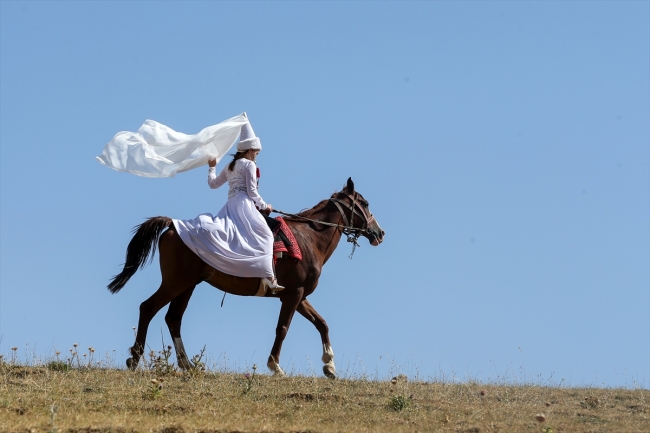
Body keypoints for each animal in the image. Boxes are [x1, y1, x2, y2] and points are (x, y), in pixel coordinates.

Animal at [104, 177, 382, 376]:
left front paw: (329, 364)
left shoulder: (298, 295)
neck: (309, 238)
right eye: (366, 204)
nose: (379, 232)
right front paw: (275, 366)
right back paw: (135, 357)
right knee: (148, 308)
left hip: (188, 285)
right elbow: (283, 328)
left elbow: (322, 323)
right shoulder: (294, 295)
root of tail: (173, 225)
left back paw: (186, 364)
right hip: (176, 282)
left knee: (173, 318)